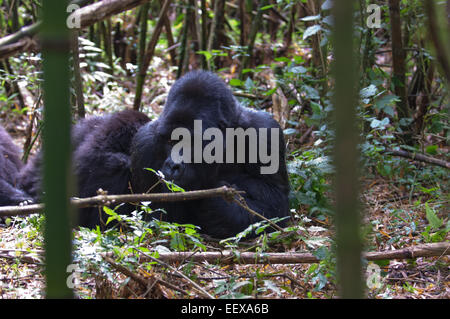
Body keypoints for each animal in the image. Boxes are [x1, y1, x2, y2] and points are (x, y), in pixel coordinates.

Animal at [132, 71, 290, 239]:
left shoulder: (264, 131)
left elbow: (276, 202)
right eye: (170, 141)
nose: (173, 165)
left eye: (192, 142)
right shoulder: (143, 145)